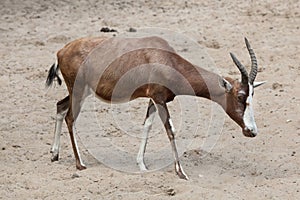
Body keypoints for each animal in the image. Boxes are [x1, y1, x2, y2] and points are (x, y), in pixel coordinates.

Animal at [46, 36, 264, 180]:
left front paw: (142, 166)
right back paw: (80, 164)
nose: (251, 131)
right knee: (70, 117)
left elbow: (147, 126)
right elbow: (170, 130)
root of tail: (61, 51)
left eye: (252, 95)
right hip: (78, 90)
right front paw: (181, 172)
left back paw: (55, 154)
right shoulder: (159, 99)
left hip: (81, 92)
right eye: (240, 96)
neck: (164, 57)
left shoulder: (154, 99)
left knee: (60, 106)